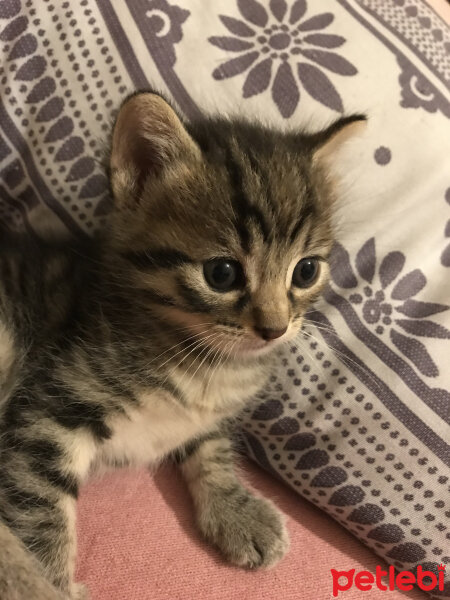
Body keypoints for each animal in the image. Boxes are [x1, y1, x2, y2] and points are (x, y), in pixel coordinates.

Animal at [0, 90, 366, 600]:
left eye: (306, 270)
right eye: (222, 274)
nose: (274, 328)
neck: (203, 361)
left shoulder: (211, 413)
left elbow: (212, 443)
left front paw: (237, 510)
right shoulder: (47, 408)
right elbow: (38, 505)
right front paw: (46, 584)